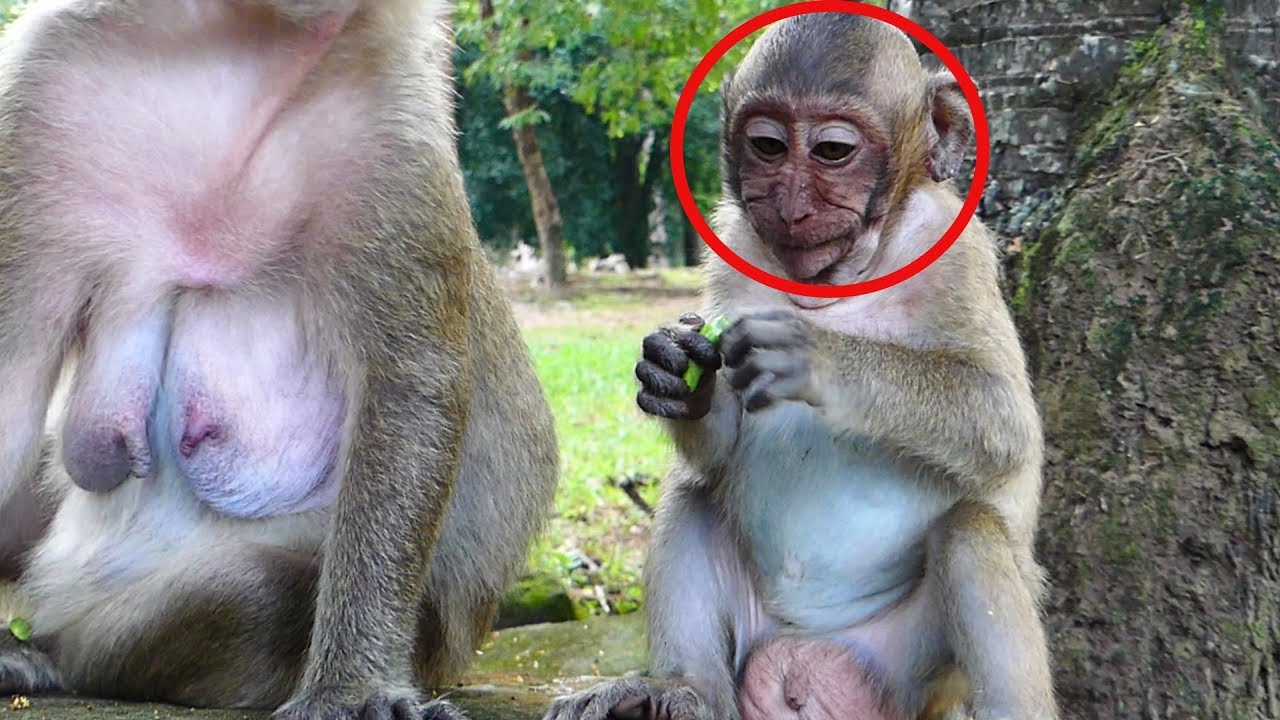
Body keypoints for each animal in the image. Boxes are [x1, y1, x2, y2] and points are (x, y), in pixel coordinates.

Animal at [0, 2, 559, 719]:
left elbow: (410, 386)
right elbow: (12, 385)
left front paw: (351, 686)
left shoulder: (394, 127)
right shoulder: (41, 87)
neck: (252, 49)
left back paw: (54, 654)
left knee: (261, 594)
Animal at [544, 13, 1057, 720]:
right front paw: (677, 373)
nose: (788, 204)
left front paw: (817, 355)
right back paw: (681, 687)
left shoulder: (955, 248)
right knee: (694, 490)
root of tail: (806, 658)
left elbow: (1005, 422)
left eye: (832, 151)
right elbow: (716, 450)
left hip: (916, 675)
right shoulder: (734, 243)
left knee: (972, 531)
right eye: (766, 144)